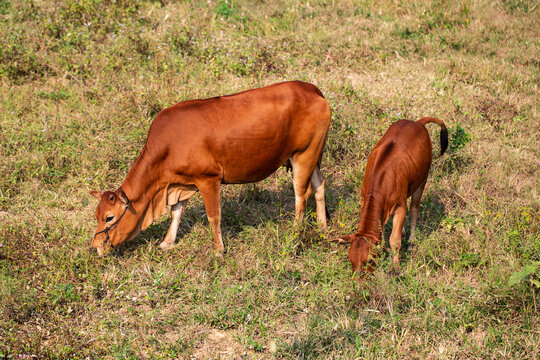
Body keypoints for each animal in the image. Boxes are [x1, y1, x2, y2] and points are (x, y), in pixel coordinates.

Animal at [90, 81, 332, 256]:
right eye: (96, 214)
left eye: (109, 218)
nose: (95, 247)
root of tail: (310, 89)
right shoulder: (182, 183)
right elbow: (176, 213)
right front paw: (167, 242)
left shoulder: (208, 179)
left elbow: (213, 216)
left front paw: (218, 250)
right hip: (311, 156)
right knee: (319, 185)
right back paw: (322, 225)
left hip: (303, 155)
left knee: (301, 195)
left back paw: (295, 232)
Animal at [332, 117, 450, 272]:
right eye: (351, 260)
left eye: (369, 261)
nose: (358, 279)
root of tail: (417, 122)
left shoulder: (400, 205)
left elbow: (394, 240)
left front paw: (396, 267)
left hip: (422, 180)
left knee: (414, 208)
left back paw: (411, 239)